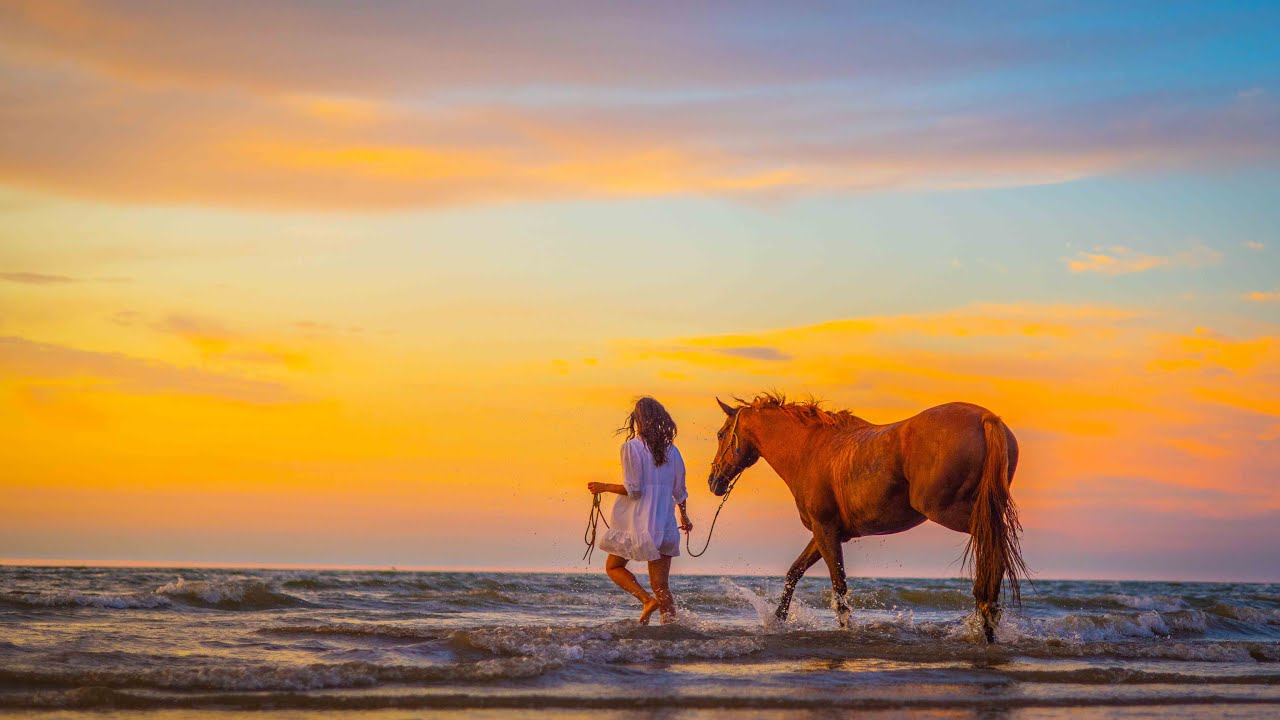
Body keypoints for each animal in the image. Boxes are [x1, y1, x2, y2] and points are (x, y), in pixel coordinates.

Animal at [707, 393, 1026, 642]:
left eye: (721, 434)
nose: (714, 481)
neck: (810, 449)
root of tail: (987, 419)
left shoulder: (825, 530)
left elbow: (839, 587)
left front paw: (846, 630)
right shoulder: (828, 533)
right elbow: (794, 573)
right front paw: (778, 620)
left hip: (953, 512)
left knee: (994, 547)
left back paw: (986, 619)